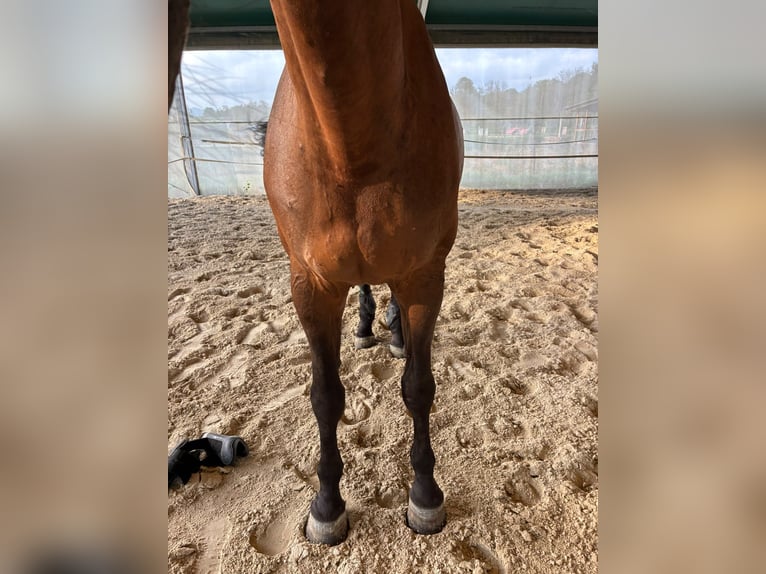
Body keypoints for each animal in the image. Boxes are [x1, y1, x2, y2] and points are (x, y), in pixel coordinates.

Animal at [263, 0, 463, 545]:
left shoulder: (424, 276)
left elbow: (419, 388)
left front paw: (425, 496)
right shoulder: (310, 285)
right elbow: (325, 396)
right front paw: (327, 506)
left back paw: (392, 334)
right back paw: (366, 327)